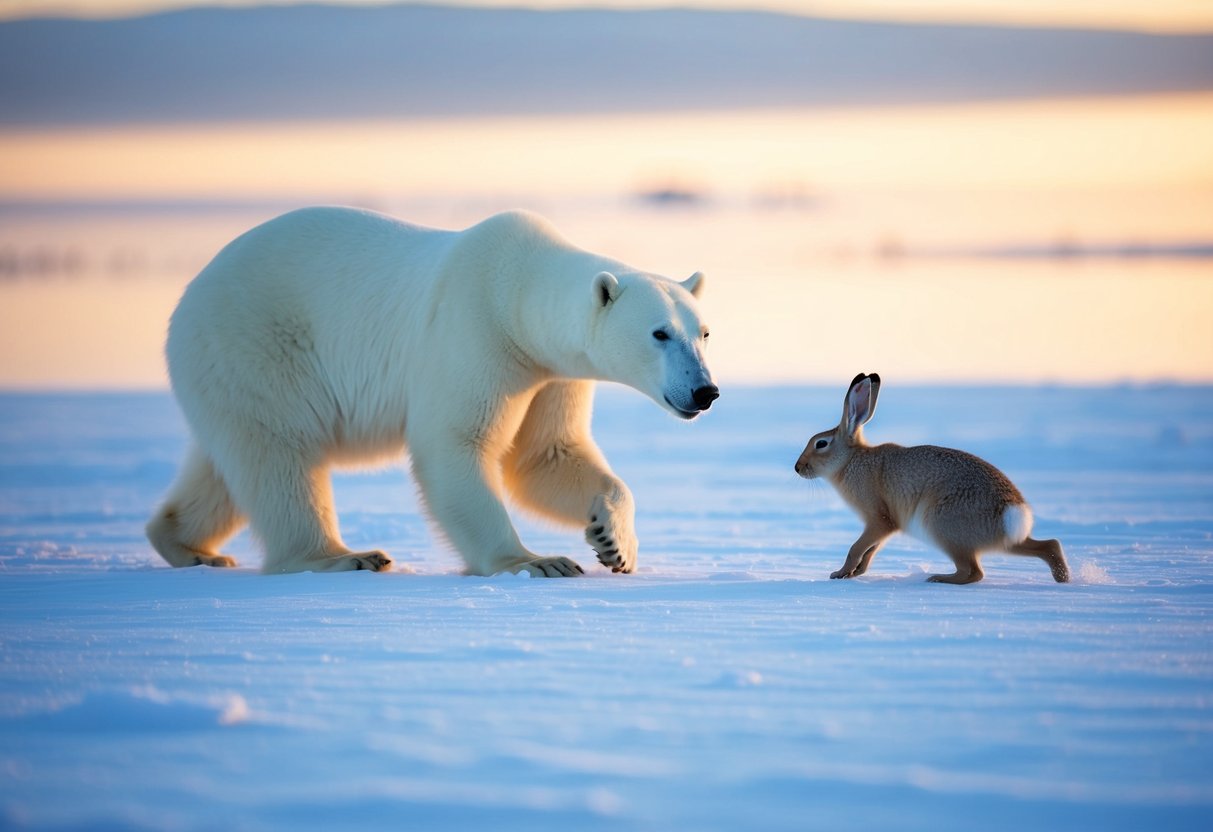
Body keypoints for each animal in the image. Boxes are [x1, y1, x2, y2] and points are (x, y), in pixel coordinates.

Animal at [146, 207, 718, 577]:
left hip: (231, 373)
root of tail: (187, 299)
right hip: (259, 342)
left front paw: (613, 542)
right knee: (280, 455)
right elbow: (457, 443)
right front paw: (536, 561)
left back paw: (186, 545)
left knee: (229, 460)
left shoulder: (550, 373)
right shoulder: (475, 334)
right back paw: (341, 556)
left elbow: (546, 454)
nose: (705, 391)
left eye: (704, 332)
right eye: (659, 334)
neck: (515, 290)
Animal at [794, 373, 1069, 585]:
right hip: (996, 541)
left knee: (973, 572)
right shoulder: (883, 526)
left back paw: (938, 578)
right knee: (1048, 545)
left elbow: (857, 548)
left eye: (821, 443)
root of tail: (1013, 513)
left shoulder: (878, 520)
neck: (850, 461)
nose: (798, 467)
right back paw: (1062, 578)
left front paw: (839, 573)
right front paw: (855, 573)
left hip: (942, 526)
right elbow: (870, 551)